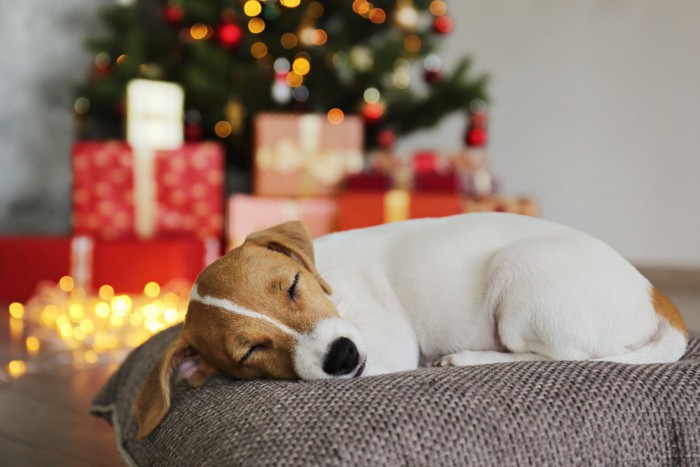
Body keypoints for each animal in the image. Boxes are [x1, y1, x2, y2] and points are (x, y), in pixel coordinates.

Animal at [133, 214, 688, 440]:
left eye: (291, 286)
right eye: (248, 353)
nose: (343, 356)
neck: (332, 284)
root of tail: (657, 298)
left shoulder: (389, 342)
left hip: (518, 270)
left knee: (563, 357)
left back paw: (466, 358)